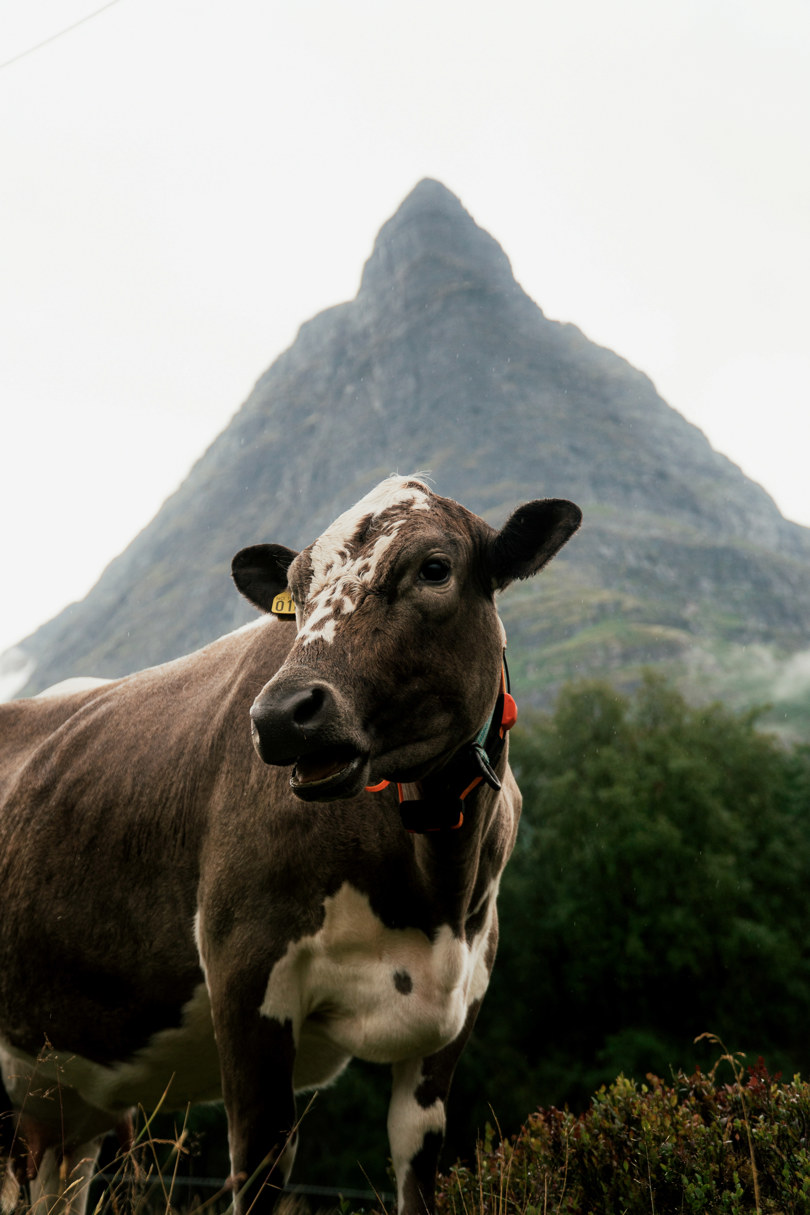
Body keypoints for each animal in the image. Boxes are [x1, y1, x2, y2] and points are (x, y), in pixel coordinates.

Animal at [1, 473, 582, 1215]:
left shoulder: (454, 1018)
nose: (280, 715)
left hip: (64, 1111)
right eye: (297, 592)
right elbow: (261, 1167)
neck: (437, 893)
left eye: (433, 568)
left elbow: (416, 1177)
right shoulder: (246, 972)